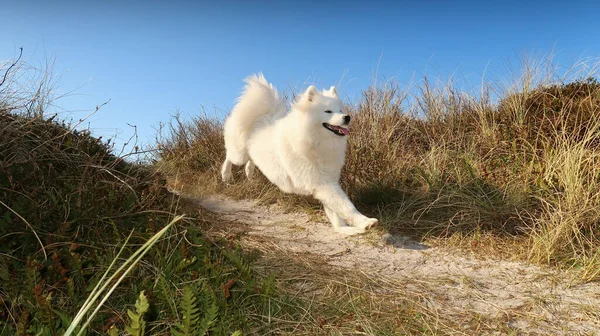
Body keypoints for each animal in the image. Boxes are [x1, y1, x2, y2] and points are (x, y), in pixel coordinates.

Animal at [220, 74, 380, 235]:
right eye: (328, 111)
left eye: (340, 110)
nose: (347, 117)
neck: (315, 140)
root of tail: (262, 117)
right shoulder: (322, 183)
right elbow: (346, 206)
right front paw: (365, 222)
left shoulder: (329, 181)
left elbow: (335, 211)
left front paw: (344, 229)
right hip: (238, 154)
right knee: (228, 155)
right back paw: (226, 175)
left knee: (249, 160)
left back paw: (249, 172)